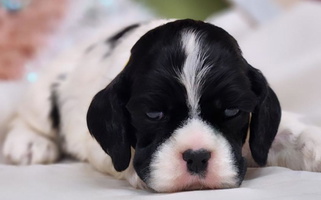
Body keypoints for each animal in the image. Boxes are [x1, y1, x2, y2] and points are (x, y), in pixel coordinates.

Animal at [2, 19, 320, 192]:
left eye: (232, 111)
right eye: (153, 114)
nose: (197, 156)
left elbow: (285, 134)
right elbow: (122, 155)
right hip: (45, 93)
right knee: (27, 116)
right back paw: (29, 142)